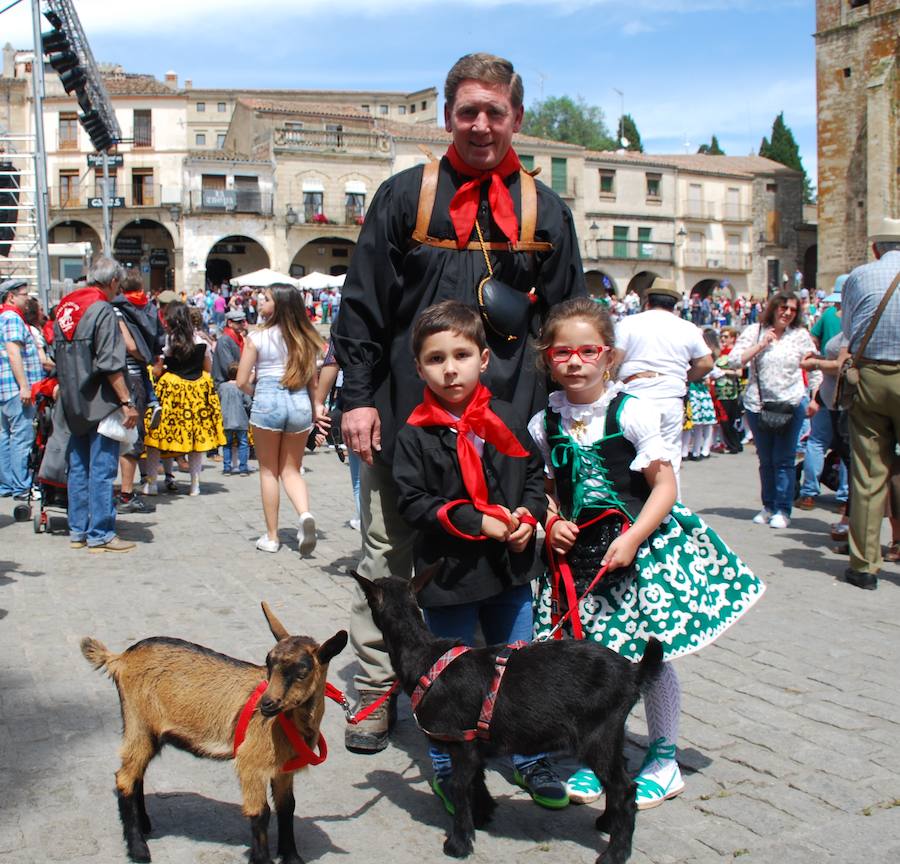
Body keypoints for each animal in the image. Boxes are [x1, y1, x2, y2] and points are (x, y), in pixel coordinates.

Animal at [81, 600, 348, 864]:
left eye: (302, 672)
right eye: (269, 665)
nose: (266, 704)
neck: (289, 724)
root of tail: (120, 659)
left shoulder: (283, 769)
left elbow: (287, 807)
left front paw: (292, 857)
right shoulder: (250, 763)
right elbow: (261, 812)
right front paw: (262, 859)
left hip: (149, 732)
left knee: (137, 774)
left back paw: (145, 826)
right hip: (139, 722)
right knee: (125, 778)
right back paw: (139, 850)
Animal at [352, 572, 660, 864]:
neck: (424, 655)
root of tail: (633, 673)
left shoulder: (461, 742)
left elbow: (460, 787)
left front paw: (459, 842)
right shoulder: (475, 743)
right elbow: (477, 780)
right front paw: (483, 815)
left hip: (598, 736)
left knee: (624, 789)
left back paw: (615, 853)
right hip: (611, 735)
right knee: (619, 780)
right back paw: (607, 823)